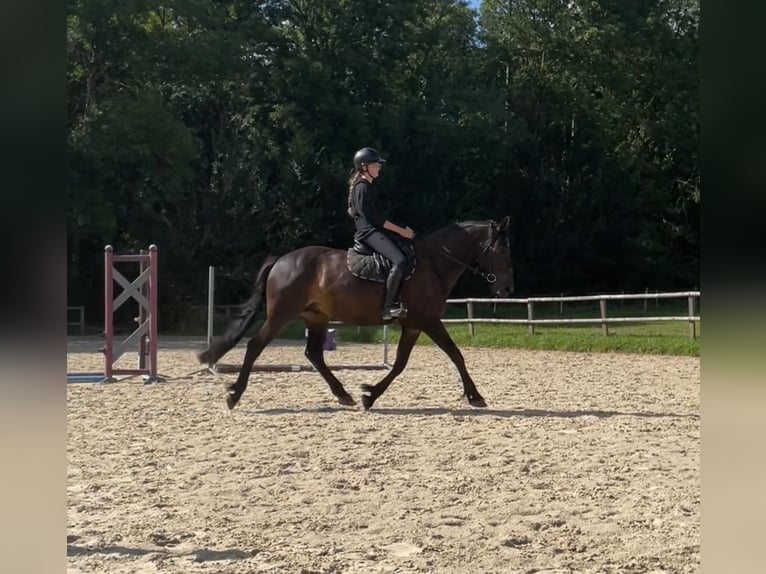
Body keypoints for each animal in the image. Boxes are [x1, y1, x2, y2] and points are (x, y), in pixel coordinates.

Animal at [200, 218, 516, 412]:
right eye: (501, 250)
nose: (508, 288)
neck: (434, 263)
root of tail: (281, 260)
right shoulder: (428, 321)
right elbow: (455, 354)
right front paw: (475, 396)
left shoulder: (414, 325)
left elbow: (399, 364)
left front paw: (369, 395)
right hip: (281, 314)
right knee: (255, 346)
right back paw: (233, 395)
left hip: (317, 317)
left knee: (314, 354)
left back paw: (344, 395)